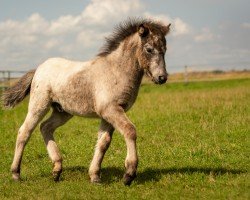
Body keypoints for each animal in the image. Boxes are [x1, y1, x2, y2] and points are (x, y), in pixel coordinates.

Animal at [2, 18, 170, 186]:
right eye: (149, 49)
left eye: (165, 49)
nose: (162, 77)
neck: (116, 71)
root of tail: (39, 68)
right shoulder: (110, 110)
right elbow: (130, 131)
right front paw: (129, 174)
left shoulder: (109, 113)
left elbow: (103, 142)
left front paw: (95, 176)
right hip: (39, 105)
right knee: (24, 132)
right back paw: (16, 173)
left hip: (63, 111)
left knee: (45, 127)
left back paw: (57, 169)